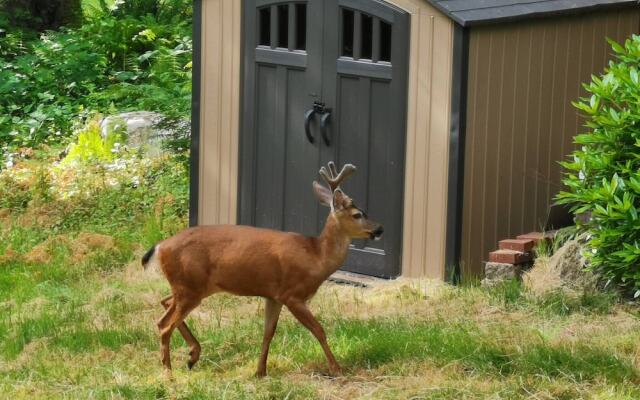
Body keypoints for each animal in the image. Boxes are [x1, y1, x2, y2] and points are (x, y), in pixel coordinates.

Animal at [142, 161, 384, 376]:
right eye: (357, 214)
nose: (379, 228)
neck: (316, 256)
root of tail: (161, 246)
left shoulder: (274, 296)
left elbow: (268, 333)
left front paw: (260, 371)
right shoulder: (293, 294)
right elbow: (319, 330)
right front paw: (336, 369)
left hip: (191, 286)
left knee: (165, 304)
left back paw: (192, 356)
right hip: (190, 287)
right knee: (164, 324)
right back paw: (168, 372)